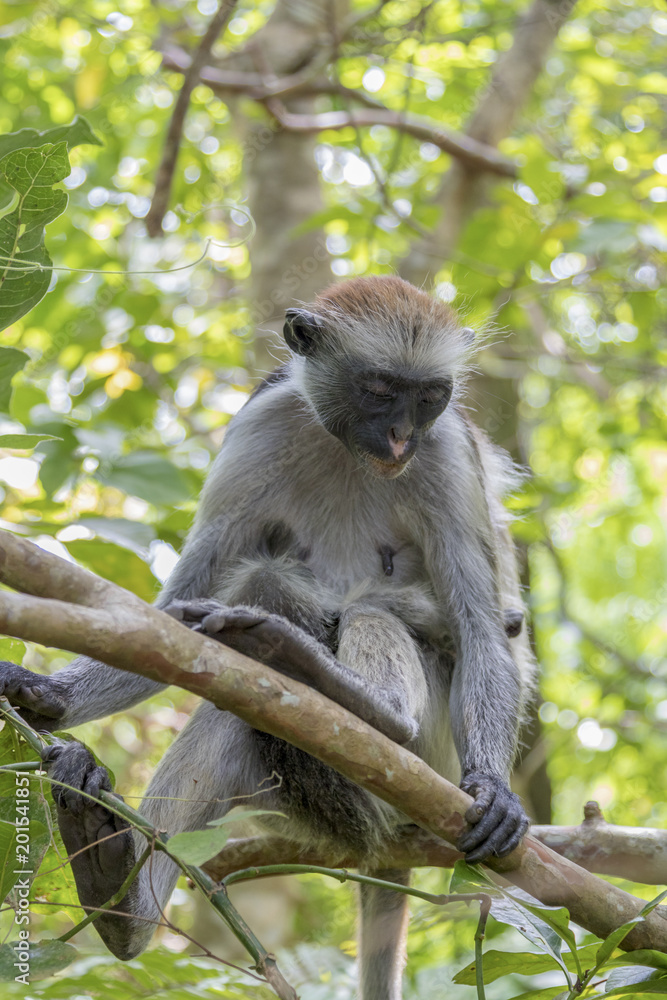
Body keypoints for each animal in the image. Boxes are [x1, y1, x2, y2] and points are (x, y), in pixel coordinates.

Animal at [0, 275, 535, 1000]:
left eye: (428, 396)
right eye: (378, 389)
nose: (401, 438)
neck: (348, 451)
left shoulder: (447, 449)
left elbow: (483, 627)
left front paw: (495, 790)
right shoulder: (261, 424)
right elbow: (171, 612)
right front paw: (43, 693)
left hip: (431, 759)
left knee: (367, 616)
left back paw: (358, 701)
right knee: (244, 669)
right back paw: (121, 901)